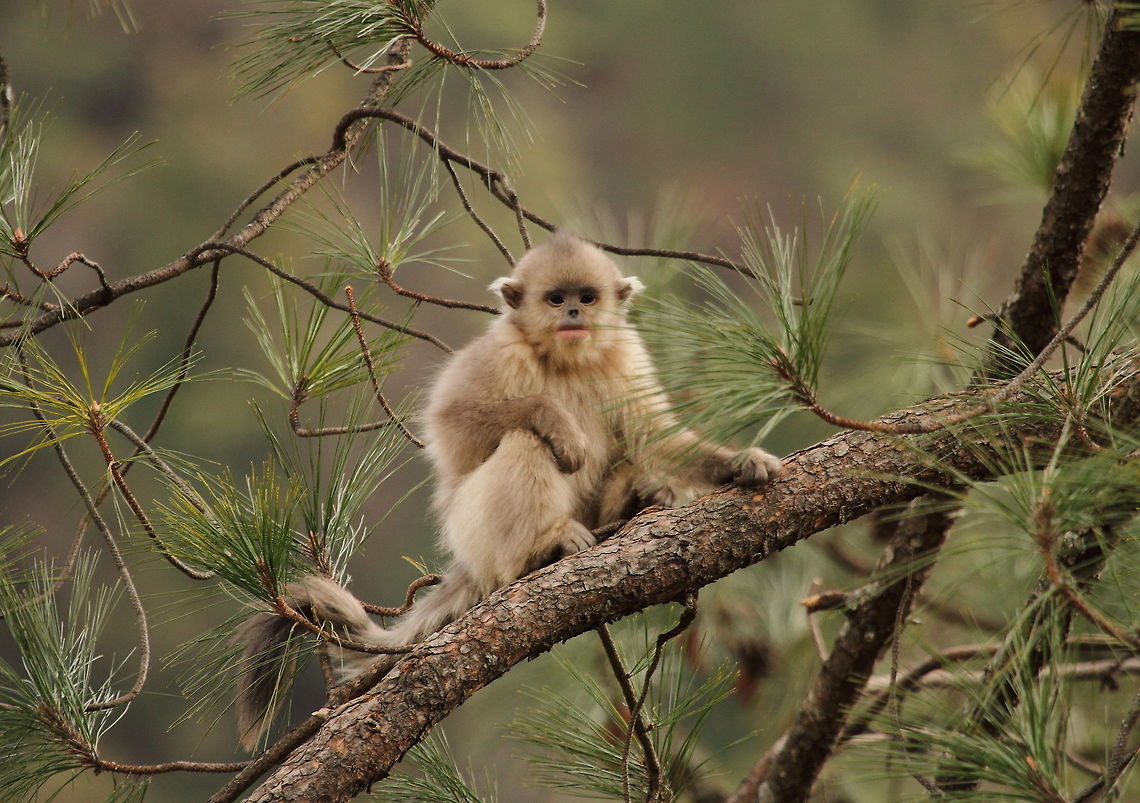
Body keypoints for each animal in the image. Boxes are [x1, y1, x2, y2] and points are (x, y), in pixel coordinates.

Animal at [235, 232, 781, 750]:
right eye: (556, 299)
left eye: (587, 296)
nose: (575, 313)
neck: (566, 361)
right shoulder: (501, 353)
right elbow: (453, 428)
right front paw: (555, 420)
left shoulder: (626, 357)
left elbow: (656, 437)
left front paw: (737, 463)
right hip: (477, 532)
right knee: (524, 440)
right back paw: (542, 545)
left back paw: (637, 500)